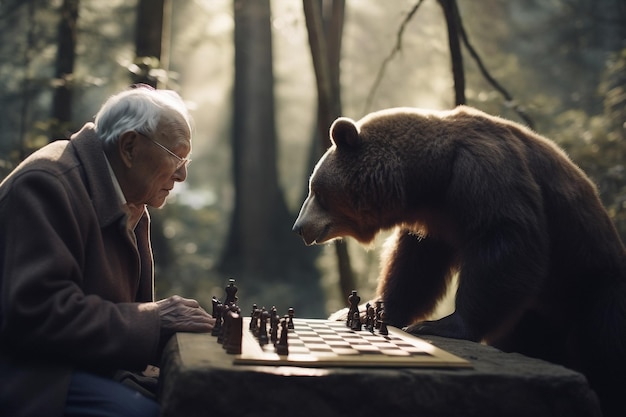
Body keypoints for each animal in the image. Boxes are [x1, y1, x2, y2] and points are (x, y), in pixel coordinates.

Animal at [292, 105, 624, 414]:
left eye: (316, 190)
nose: (299, 228)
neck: (432, 179)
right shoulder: (436, 224)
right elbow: (414, 269)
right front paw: (362, 311)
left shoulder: (485, 178)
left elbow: (505, 242)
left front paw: (436, 325)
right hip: (535, 314)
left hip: (594, 283)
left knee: (605, 347)